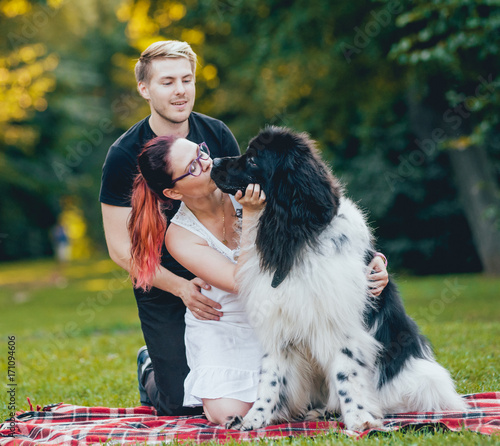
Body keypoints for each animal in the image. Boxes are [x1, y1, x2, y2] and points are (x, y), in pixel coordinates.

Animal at [209, 126, 466, 432]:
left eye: (252, 160)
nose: (213, 162)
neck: (296, 236)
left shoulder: (340, 326)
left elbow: (346, 375)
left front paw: (359, 421)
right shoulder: (278, 325)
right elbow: (270, 378)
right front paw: (254, 419)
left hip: (421, 378)